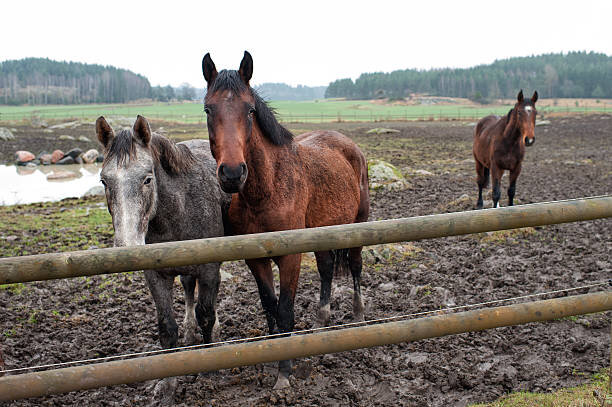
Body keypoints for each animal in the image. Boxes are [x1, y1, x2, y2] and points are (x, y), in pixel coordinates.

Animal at [95, 115, 230, 404]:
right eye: (104, 181)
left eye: (147, 179)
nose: (127, 248)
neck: (180, 207)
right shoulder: (156, 276)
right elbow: (167, 328)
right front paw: (167, 386)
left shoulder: (209, 268)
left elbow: (206, 314)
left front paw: (210, 370)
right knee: (189, 289)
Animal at [203, 52, 370, 390]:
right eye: (208, 109)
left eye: (250, 109)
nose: (232, 173)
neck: (265, 192)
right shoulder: (255, 259)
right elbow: (269, 306)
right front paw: (271, 360)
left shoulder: (291, 257)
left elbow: (285, 309)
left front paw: (284, 373)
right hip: (323, 232)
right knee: (327, 269)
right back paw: (320, 323)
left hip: (357, 225)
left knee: (356, 266)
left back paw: (357, 316)